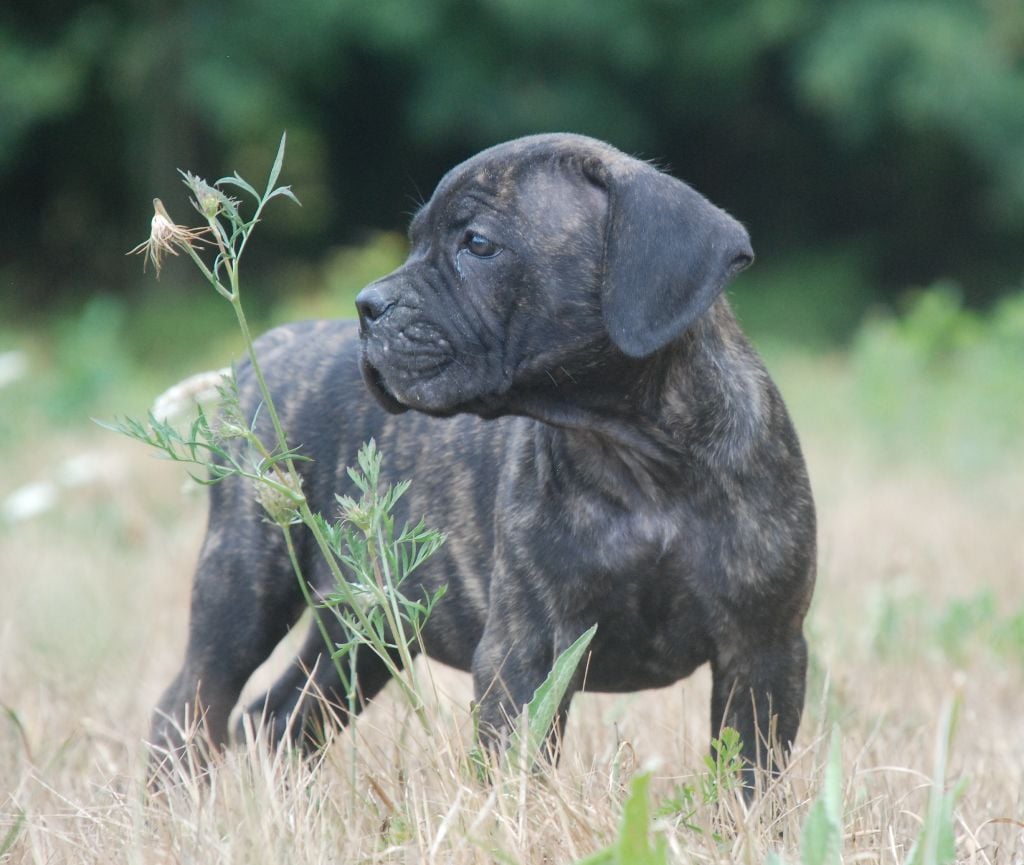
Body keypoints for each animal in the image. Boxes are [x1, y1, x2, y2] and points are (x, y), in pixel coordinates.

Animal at [149, 132, 815, 777]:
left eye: (478, 244)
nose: (367, 306)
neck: (634, 451)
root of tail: (265, 349)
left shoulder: (764, 651)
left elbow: (752, 772)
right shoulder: (524, 650)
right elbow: (516, 767)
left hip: (366, 628)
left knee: (283, 714)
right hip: (244, 583)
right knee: (191, 705)